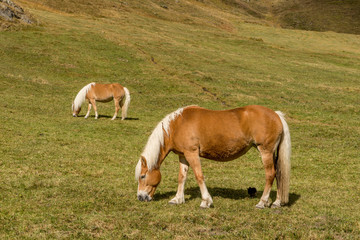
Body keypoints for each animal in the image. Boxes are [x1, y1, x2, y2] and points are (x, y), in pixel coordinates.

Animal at [136, 105, 292, 208]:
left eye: (143, 176)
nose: (140, 197)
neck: (177, 125)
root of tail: (276, 114)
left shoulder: (192, 153)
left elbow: (199, 176)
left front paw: (206, 201)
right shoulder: (183, 156)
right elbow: (182, 177)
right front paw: (177, 199)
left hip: (265, 151)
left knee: (270, 174)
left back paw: (262, 202)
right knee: (279, 174)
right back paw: (277, 202)